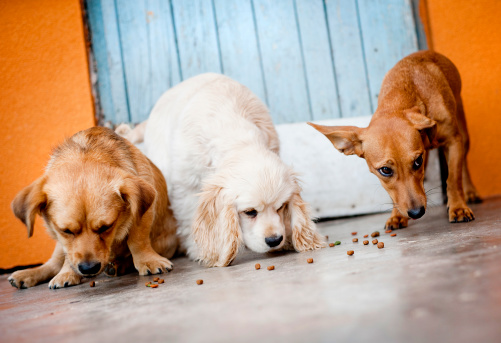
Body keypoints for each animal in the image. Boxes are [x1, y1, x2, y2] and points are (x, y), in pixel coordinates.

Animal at [310, 50, 478, 228]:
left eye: (417, 161)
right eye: (385, 170)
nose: (417, 212)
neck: (399, 99)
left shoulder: (452, 141)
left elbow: (453, 179)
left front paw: (458, 208)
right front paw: (396, 215)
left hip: (463, 137)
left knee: (463, 166)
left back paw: (470, 192)